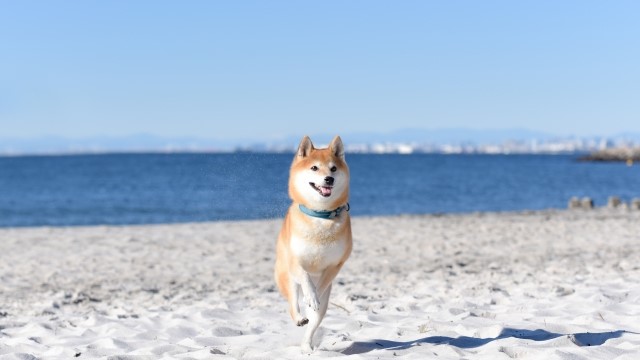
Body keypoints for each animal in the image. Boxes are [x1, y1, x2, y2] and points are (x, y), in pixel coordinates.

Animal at [272, 135, 352, 352]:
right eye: (315, 168)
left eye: (333, 168)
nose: (329, 179)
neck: (321, 216)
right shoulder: (295, 261)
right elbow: (306, 278)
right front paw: (310, 296)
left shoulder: (336, 264)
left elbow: (320, 287)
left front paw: (313, 299)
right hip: (287, 277)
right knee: (293, 303)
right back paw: (300, 317)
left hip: (323, 306)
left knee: (314, 321)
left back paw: (307, 346)